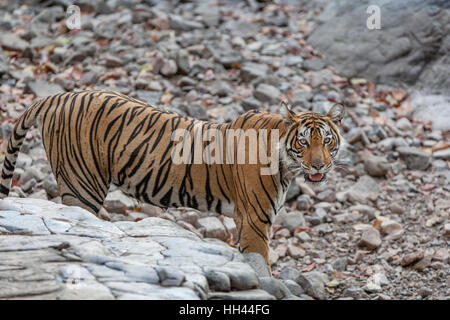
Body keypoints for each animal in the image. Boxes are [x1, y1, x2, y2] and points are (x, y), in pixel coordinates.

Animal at [0, 90, 344, 272]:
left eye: (327, 140)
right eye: (303, 141)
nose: (319, 164)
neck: (287, 164)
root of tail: (60, 95)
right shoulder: (254, 220)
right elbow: (261, 264)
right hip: (81, 186)